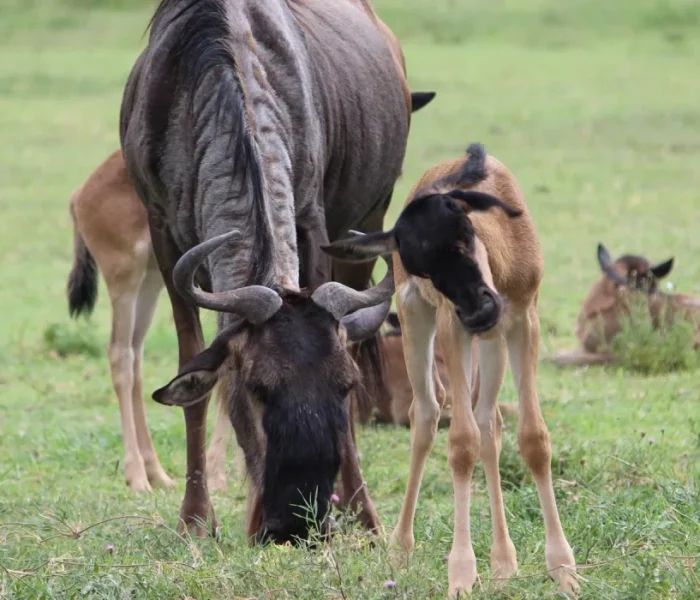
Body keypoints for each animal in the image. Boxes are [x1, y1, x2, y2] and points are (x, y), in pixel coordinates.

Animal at [119, 0, 434, 544]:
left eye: (345, 386)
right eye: (256, 388)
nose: (296, 523)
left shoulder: (314, 222)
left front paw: (363, 515)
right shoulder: (162, 235)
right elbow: (194, 379)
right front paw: (196, 518)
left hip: (368, 225)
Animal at [323, 144, 578, 595]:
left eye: (464, 235)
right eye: (423, 267)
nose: (478, 311)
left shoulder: (523, 319)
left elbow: (532, 437)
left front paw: (563, 568)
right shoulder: (450, 325)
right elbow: (461, 442)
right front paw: (461, 574)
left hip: (491, 344)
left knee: (489, 422)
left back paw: (504, 561)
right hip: (418, 320)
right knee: (426, 416)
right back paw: (401, 547)